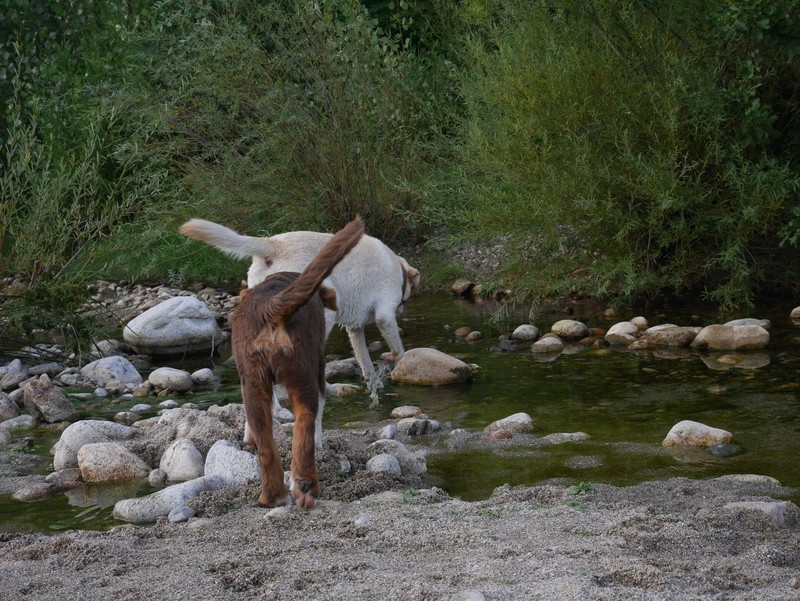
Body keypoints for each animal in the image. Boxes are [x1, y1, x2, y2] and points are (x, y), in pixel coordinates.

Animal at [179, 216, 422, 390]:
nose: (402, 310)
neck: (398, 268)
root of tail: (272, 244)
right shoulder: (384, 315)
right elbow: (399, 351)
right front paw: (388, 360)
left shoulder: (355, 329)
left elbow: (364, 360)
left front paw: (374, 384)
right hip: (323, 312)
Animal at [230, 216, 364, 506]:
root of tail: (271, 307)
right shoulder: (319, 364)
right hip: (303, 376)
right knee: (305, 427)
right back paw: (305, 486)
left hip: (253, 383)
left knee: (266, 446)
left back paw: (272, 496)